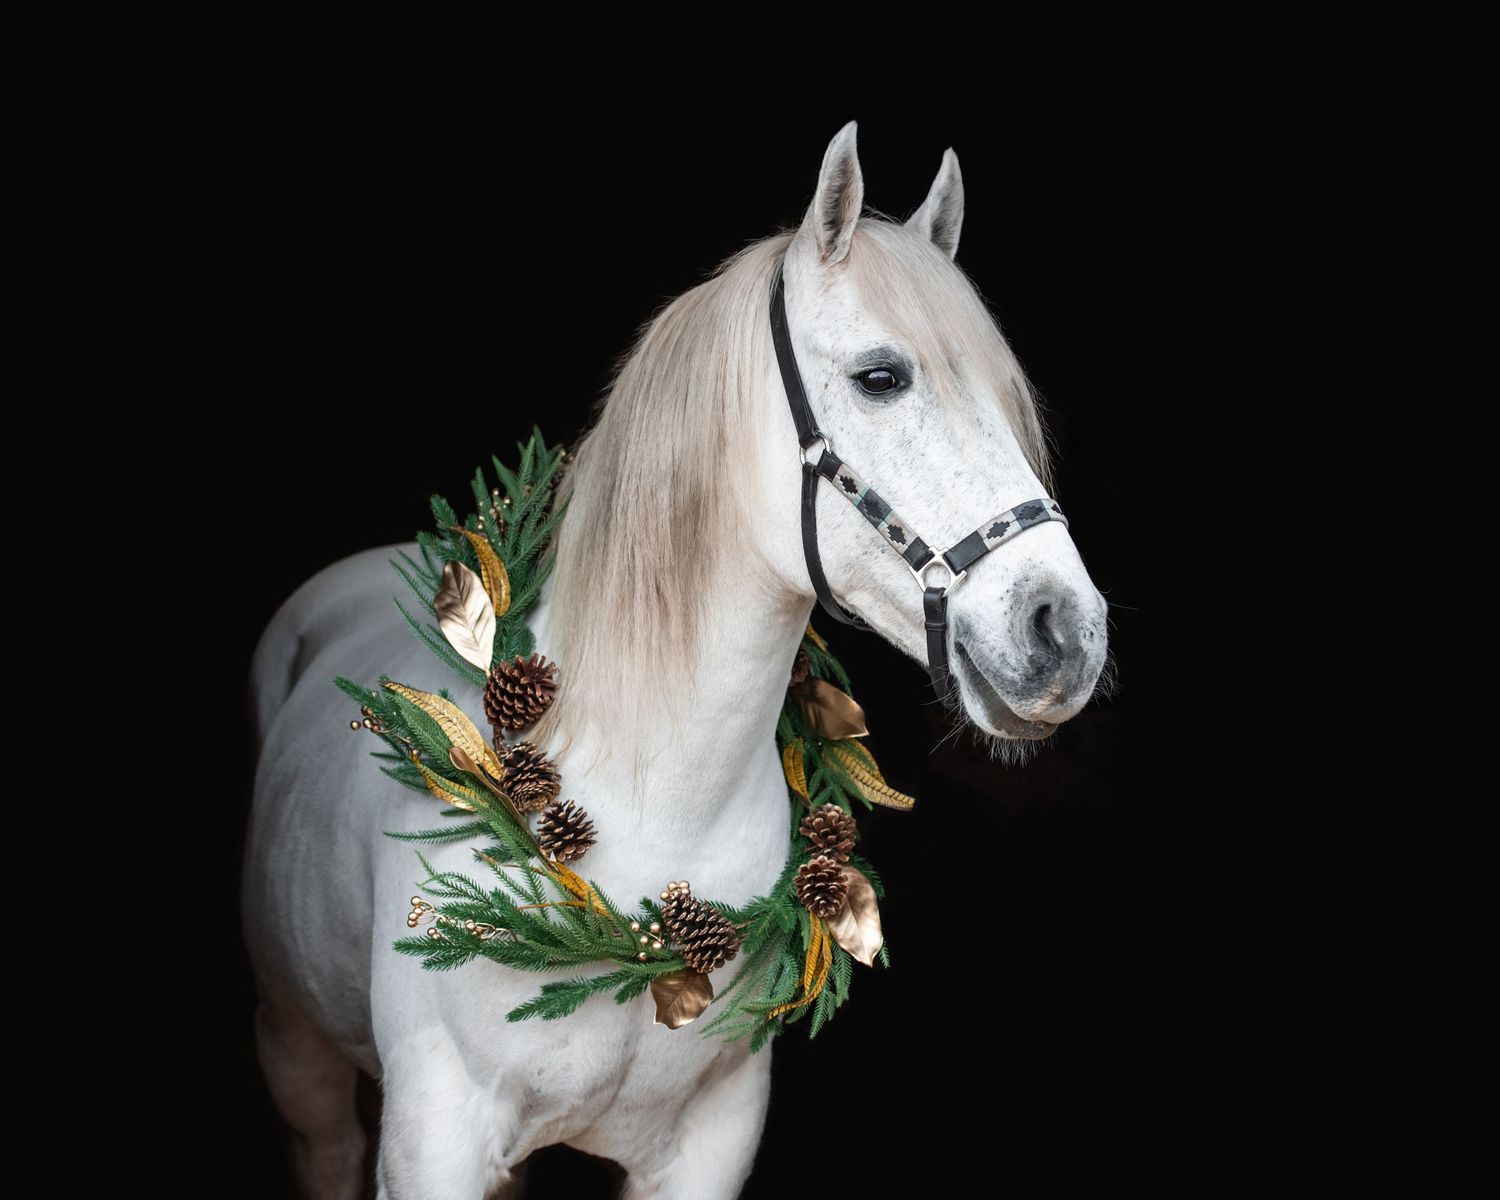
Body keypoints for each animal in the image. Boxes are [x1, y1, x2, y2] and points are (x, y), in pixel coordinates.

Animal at [243, 119, 1110, 1200]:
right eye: (880, 376)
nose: (1065, 631)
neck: (644, 803)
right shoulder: (431, 1141)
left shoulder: (711, 1140)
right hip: (297, 1053)